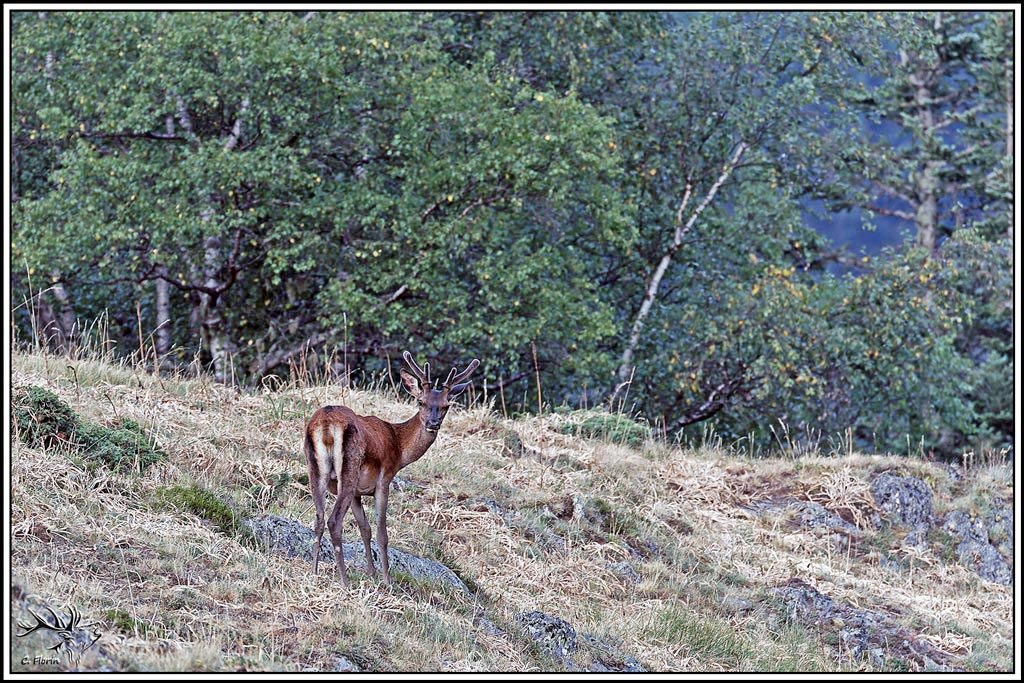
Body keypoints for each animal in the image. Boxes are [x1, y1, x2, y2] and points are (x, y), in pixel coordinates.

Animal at [304, 351, 480, 587]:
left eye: (446, 405)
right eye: (420, 401)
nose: (433, 423)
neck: (400, 449)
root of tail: (326, 423)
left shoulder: (358, 493)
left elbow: (365, 529)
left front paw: (371, 573)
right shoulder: (384, 479)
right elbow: (381, 533)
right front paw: (387, 580)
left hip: (315, 469)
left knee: (319, 518)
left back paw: (314, 573)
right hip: (349, 469)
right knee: (334, 521)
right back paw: (345, 581)